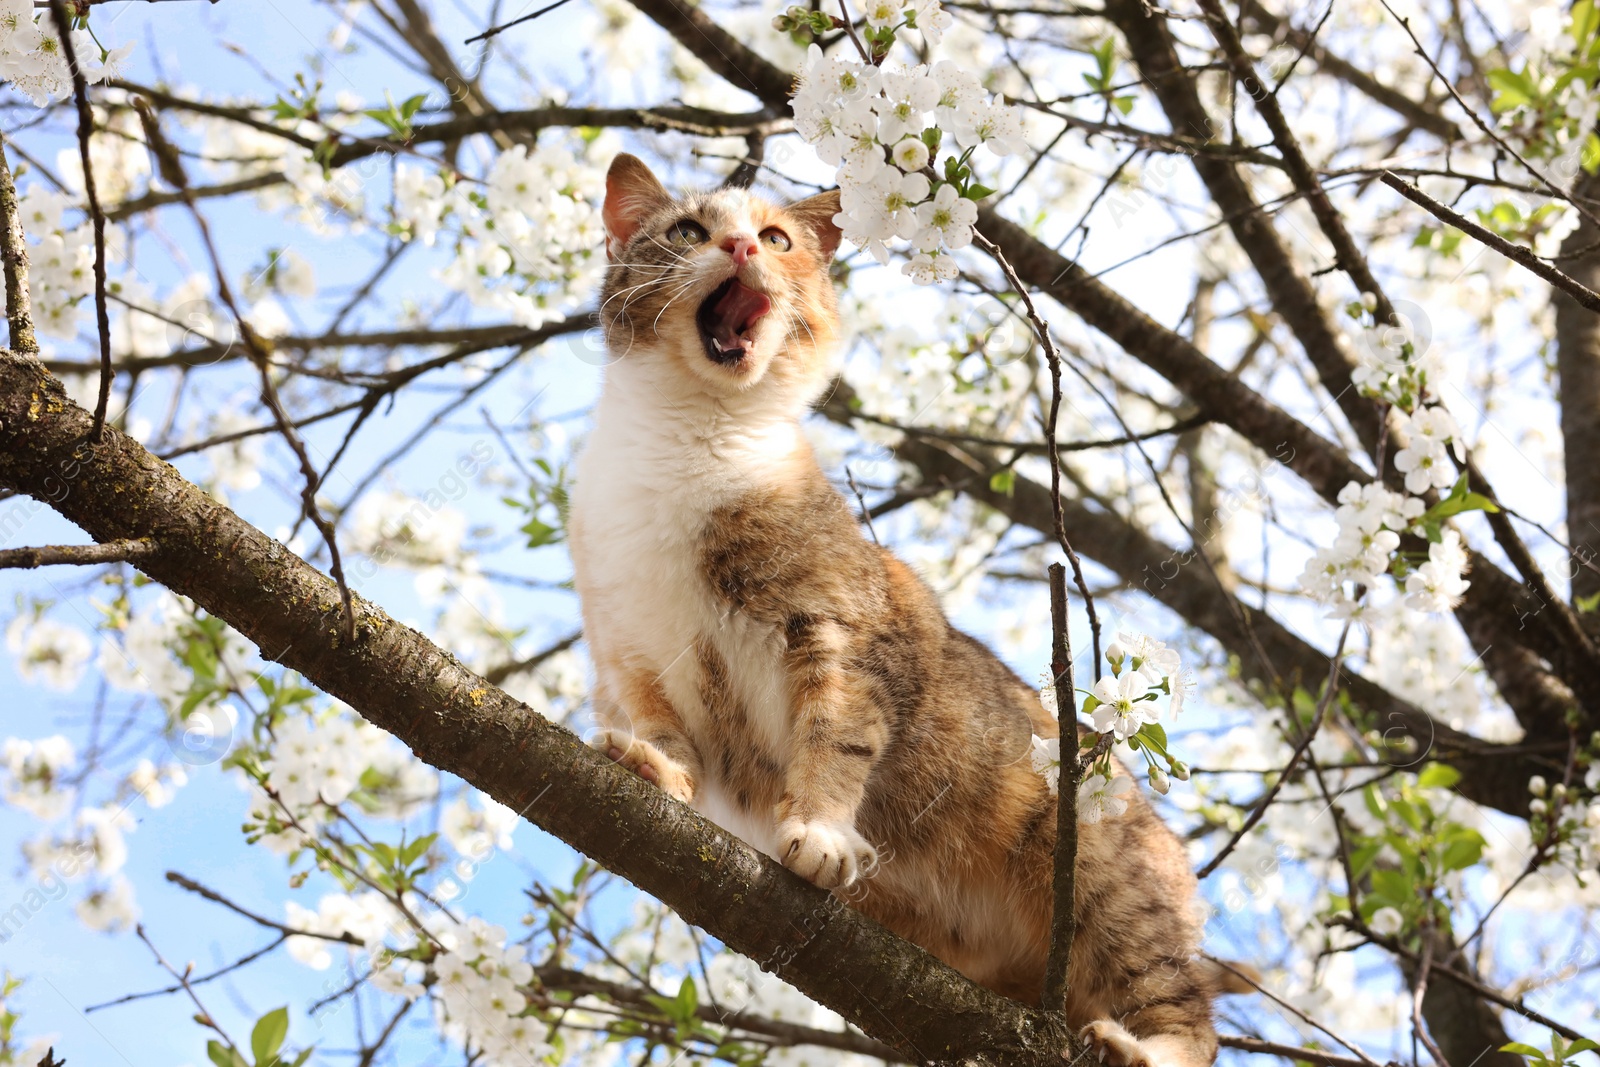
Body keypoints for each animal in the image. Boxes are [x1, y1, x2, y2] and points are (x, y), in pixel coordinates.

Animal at [569, 151, 1241, 1067]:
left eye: (776, 238)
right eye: (688, 230)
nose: (741, 246)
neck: (689, 443)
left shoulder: (841, 632)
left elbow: (836, 738)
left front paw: (819, 832)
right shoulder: (633, 658)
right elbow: (667, 736)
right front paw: (652, 768)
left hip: (1109, 881)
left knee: (1186, 1011)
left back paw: (1139, 1045)